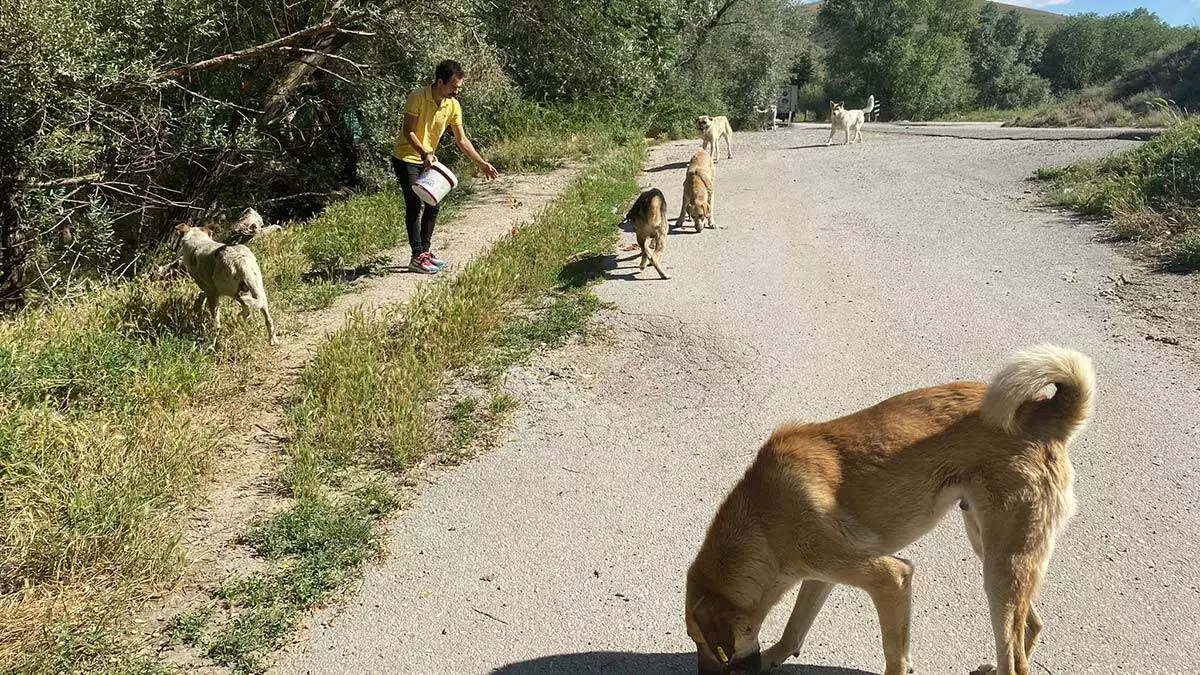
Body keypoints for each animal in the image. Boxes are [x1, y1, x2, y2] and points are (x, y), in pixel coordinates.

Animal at [686, 343, 1099, 672]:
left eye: (702, 644)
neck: (764, 521)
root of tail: (1044, 413)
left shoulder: (891, 579)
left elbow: (894, 657)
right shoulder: (821, 575)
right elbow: (794, 628)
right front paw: (776, 656)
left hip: (1001, 567)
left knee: (1016, 661)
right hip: (990, 547)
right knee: (1030, 627)